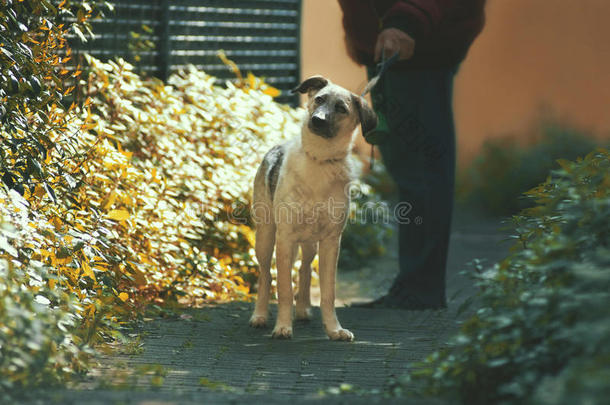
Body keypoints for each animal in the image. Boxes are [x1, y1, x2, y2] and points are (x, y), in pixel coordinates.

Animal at [247, 74, 376, 340]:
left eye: (341, 108)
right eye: (319, 99)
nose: (317, 120)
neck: (320, 160)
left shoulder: (331, 242)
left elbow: (328, 293)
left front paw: (334, 329)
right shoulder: (285, 239)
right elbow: (284, 289)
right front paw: (283, 327)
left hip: (309, 244)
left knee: (304, 270)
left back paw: (304, 310)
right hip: (266, 238)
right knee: (266, 275)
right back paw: (260, 316)